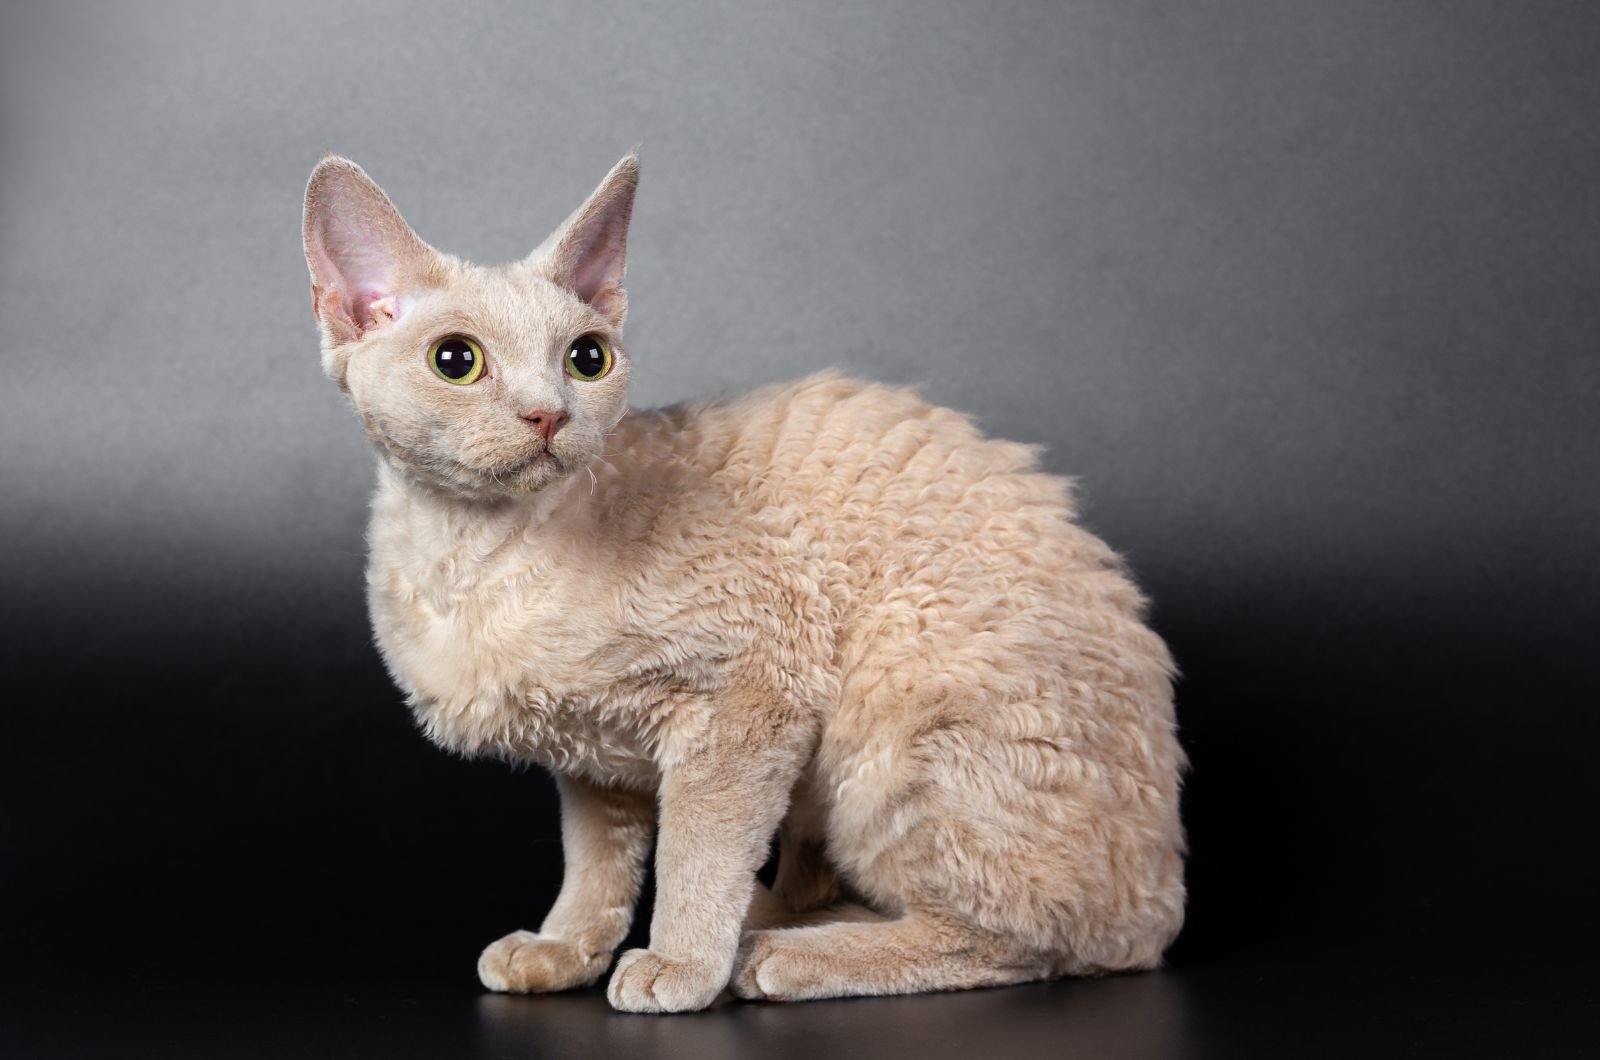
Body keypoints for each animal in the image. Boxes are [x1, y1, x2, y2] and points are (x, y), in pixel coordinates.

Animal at [302, 149, 1190, 1011]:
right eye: (457, 361)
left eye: (587, 359)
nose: (549, 413)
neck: (472, 555)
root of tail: (1158, 902)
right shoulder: (590, 759)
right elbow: (595, 862)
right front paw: (566, 947)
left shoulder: (748, 700)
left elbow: (697, 852)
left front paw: (681, 963)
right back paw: (779, 917)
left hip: (898, 717)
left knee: (1015, 939)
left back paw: (781, 953)